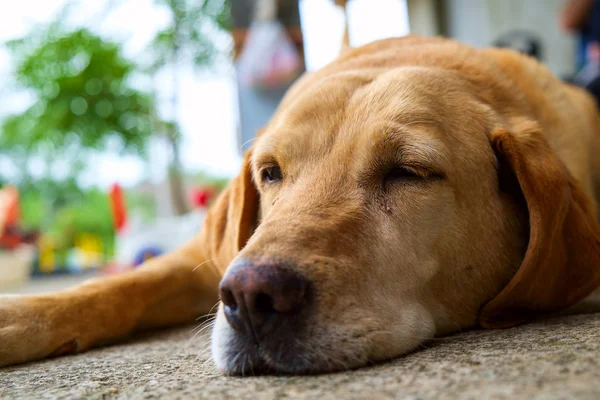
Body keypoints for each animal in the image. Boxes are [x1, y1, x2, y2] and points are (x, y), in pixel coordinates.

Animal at [1, 35, 600, 376]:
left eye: (408, 172)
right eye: (270, 173)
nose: (249, 296)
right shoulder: (208, 256)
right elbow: (120, 285)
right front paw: (22, 315)